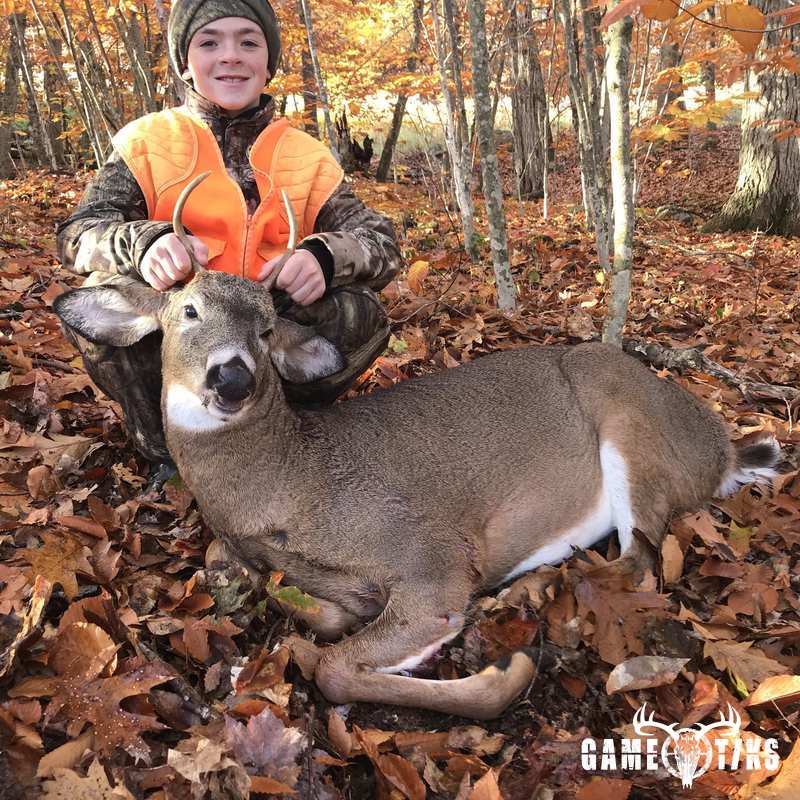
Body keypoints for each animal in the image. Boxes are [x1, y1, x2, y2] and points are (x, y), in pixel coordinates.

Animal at [53, 176, 780, 720]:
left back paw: (535, 600)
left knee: (640, 560)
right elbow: (299, 609)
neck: (289, 484)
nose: (231, 379)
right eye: (188, 312)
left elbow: (335, 670)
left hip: (630, 419)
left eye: (265, 329)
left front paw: (508, 673)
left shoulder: (429, 560)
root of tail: (723, 450)